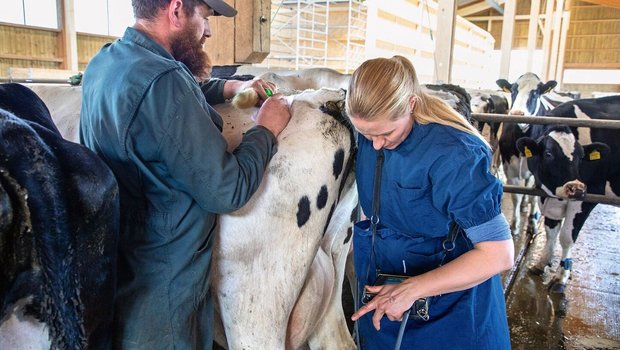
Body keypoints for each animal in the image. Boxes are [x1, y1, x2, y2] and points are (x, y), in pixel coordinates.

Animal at [512, 94, 620, 292]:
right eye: (548, 154)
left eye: (581, 156)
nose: (576, 188)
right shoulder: (547, 196)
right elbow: (551, 231)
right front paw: (541, 264)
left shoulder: (589, 196)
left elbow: (566, 237)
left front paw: (560, 277)